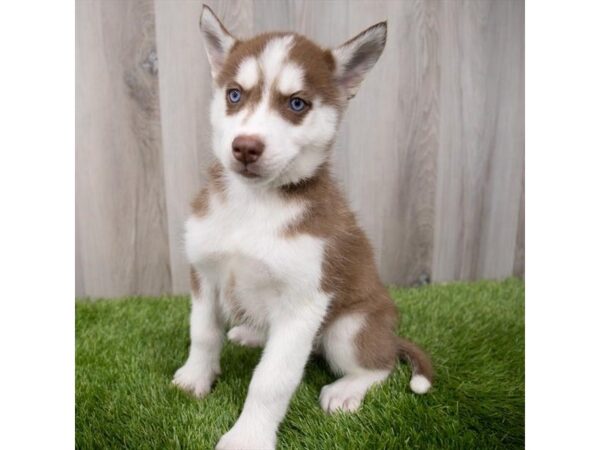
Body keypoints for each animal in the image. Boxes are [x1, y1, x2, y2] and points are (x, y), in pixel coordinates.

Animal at [172, 4, 432, 450]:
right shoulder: (204, 273)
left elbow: (271, 380)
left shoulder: (303, 304)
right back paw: (251, 333)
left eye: (297, 104)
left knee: (378, 365)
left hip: (349, 327)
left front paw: (248, 437)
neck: (253, 206)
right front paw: (196, 378)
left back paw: (347, 389)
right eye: (234, 94)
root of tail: (390, 333)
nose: (245, 147)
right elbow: (203, 332)